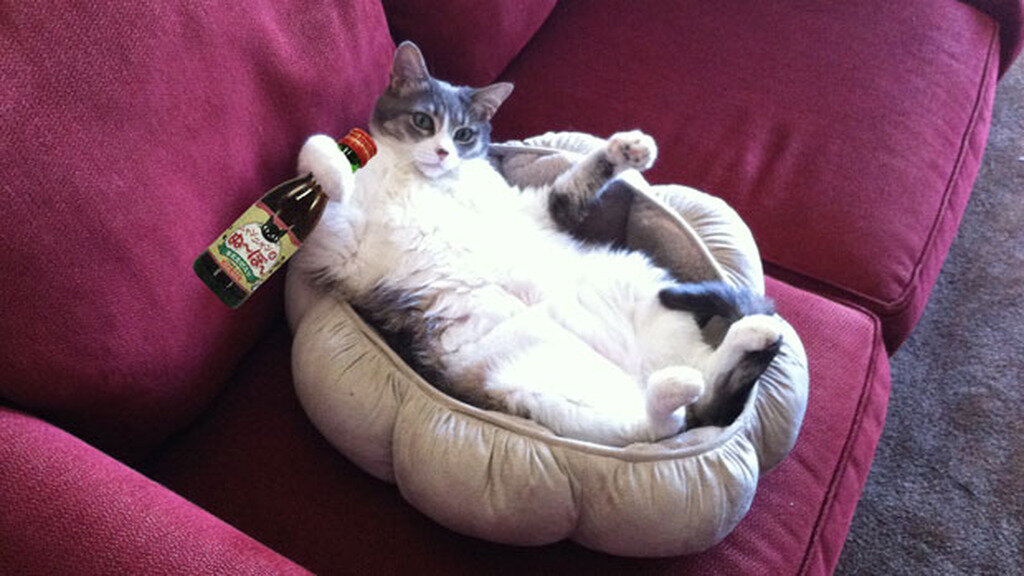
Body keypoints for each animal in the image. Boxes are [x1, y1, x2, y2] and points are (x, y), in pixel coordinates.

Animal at [285, 41, 783, 446]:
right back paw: (691, 378)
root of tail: (639, 372)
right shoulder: (343, 250)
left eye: (464, 134)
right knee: (663, 422)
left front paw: (628, 150)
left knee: (691, 404)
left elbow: (574, 183)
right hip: (538, 388)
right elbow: (320, 159)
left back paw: (747, 337)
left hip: (635, 294)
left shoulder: (532, 210)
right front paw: (326, 171)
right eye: (423, 121)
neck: (426, 181)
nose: (444, 152)